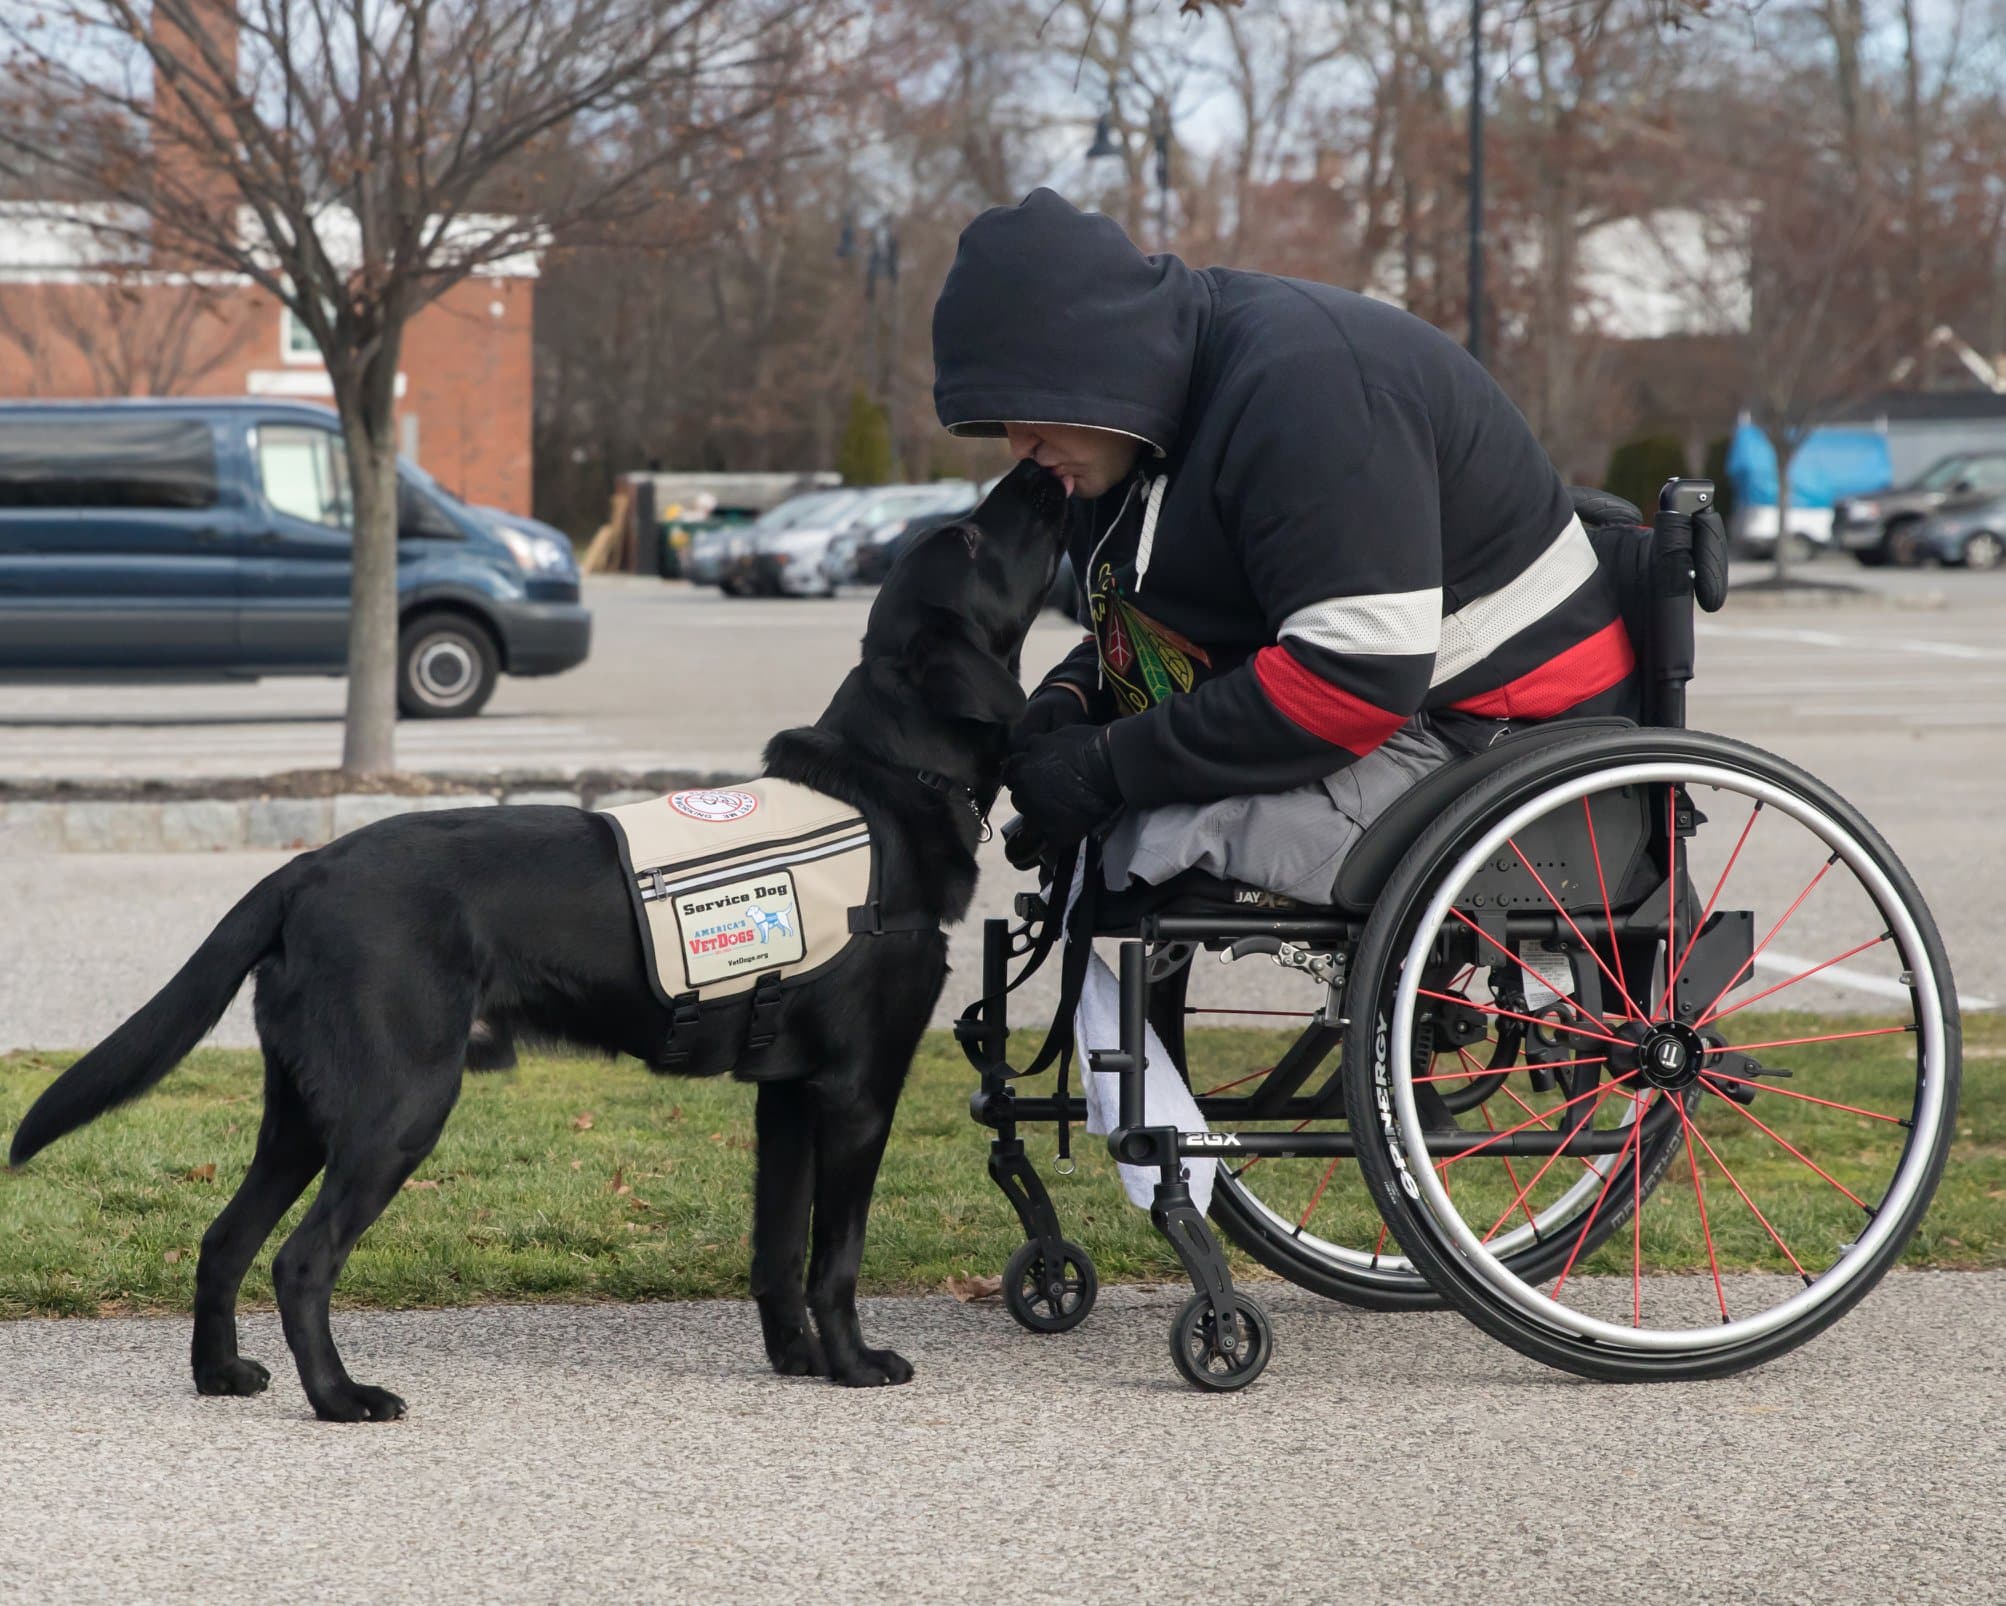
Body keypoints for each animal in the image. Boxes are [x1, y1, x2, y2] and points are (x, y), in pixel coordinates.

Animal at [7, 461, 1075, 1419]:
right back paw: (342, 1398)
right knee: (301, 1260)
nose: (1041, 470)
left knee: (223, 1240)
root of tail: (303, 871)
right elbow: (836, 1256)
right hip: (398, 1102)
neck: (887, 782)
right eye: (969, 538)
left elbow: (778, 1251)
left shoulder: (785, 1095)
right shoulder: (857, 1088)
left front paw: (798, 1364)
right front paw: (855, 1366)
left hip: (306, 1107)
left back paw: (221, 1376)